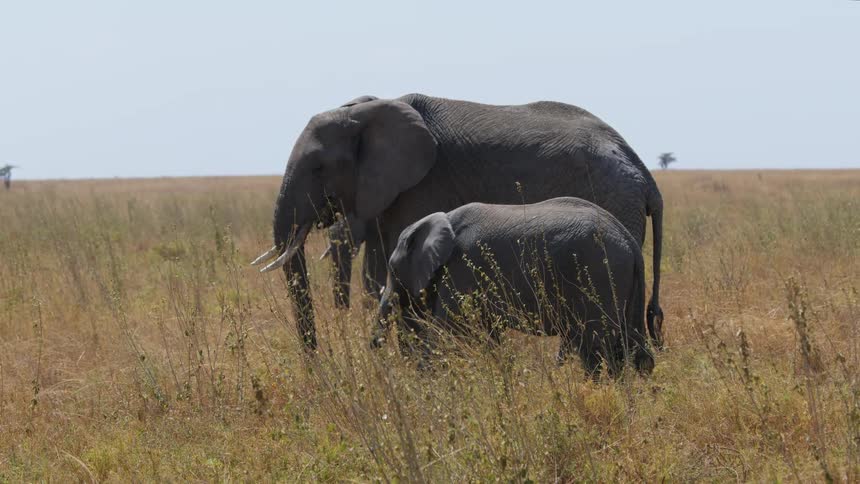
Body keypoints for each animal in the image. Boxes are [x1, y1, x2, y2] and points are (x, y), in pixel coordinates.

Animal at [251, 93, 664, 351]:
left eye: (318, 168)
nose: (315, 362)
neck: (370, 109)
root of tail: (645, 174)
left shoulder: (422, 185)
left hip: (614, 199)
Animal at [374, 197, 655, 376]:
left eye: (392, 269)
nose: (375, 348)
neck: (443, 219)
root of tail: (629, 241)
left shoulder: (461, 268)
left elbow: (449, 332)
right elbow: (489, 337)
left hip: (597, 274)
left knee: (594, 348)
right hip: (624, 284)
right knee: (631, 350)